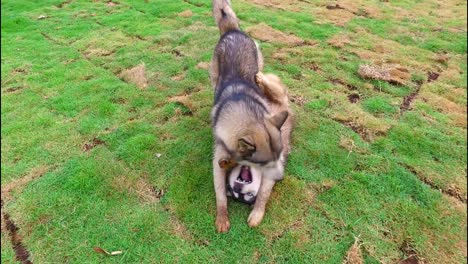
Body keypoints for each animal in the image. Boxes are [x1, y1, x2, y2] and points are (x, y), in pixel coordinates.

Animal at [209, 0, 290, 232]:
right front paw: (222, 216)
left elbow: (263, 194)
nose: (281, 177)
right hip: (214, 75)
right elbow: (220, 194)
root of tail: (233, 31)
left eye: (277, 159)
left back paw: (260, 78)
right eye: (264, 163)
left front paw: (256, 212)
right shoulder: (218, 158)